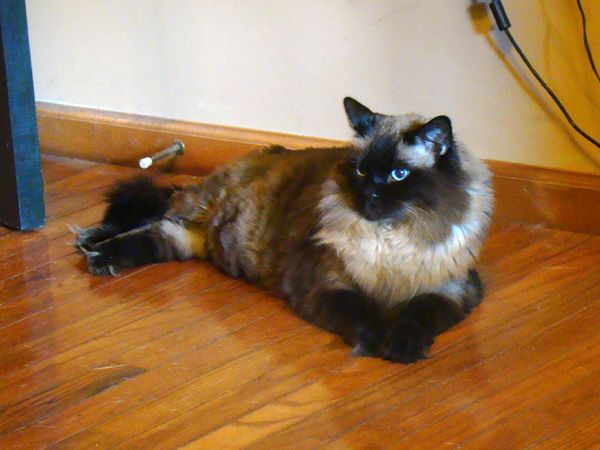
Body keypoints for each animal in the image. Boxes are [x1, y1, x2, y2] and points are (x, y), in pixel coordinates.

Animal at [74, 97, 492, 362]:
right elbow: (365, 314)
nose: (369, 196)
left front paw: (402, 349)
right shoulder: (329, 286)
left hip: (184, 238)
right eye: (361, 171)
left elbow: (414, 317)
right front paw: (374, 344)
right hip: (192, 209)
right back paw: (93, 247)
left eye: (398, 175)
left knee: (154, 231)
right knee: (149, 216)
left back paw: (97, 252)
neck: (389, 240)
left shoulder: (449, 290)